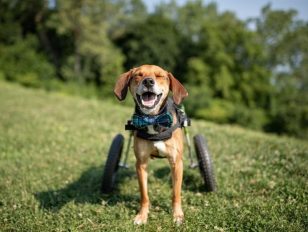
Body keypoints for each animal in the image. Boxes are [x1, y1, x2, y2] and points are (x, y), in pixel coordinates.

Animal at [115, 64, 189, 224]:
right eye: (138, 75)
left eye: (160, 76)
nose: (148, 81)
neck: (153, 119)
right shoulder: (141, 164)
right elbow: (144, 195)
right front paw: (142, 216)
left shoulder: (177, 163)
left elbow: (176, 193)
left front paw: (177, 215)